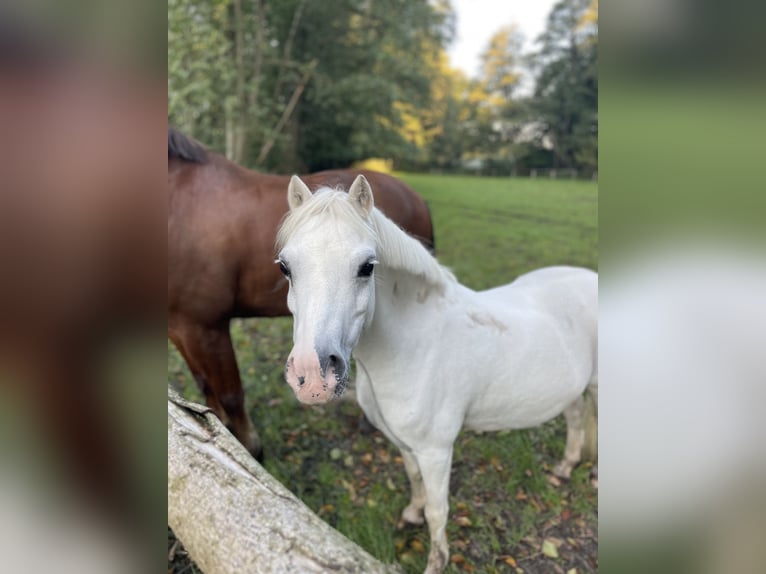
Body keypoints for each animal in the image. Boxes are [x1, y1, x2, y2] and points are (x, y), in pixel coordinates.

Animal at [169, 129, 436, 460]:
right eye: (283, 267)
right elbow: (206, 387)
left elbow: (231, 394)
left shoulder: (207, 327)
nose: (313, 375)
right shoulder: (181, 328)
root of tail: (415, 196)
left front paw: (252, 449)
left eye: (367, 266)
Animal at [276, 176, 600, 574]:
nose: (313, 377)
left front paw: (436, 559)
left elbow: (437, 510)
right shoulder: (403, 443)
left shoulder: (436, 451)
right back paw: (565, 468)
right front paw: (411, 514)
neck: (415, 344)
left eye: (367, 267)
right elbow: (415, 483)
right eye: (286, 268)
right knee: (575, 417)